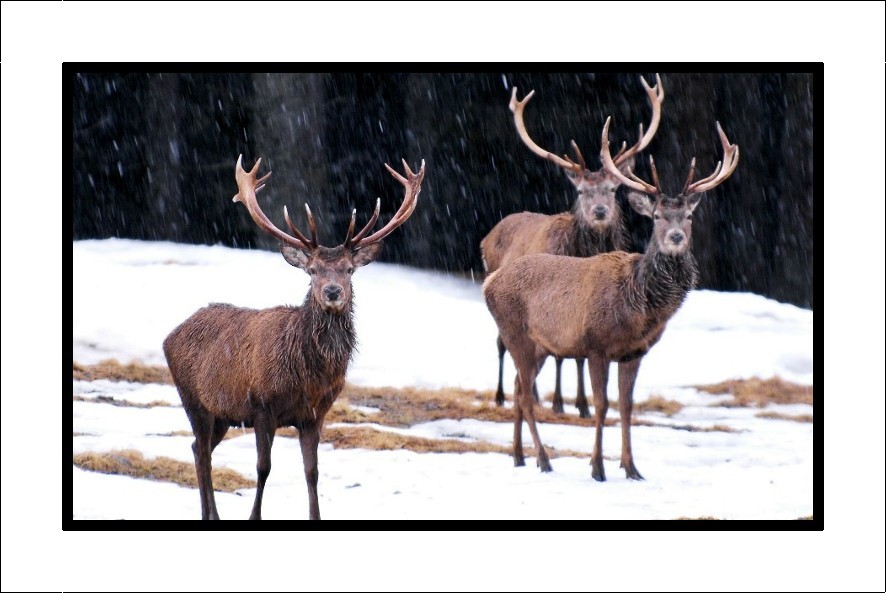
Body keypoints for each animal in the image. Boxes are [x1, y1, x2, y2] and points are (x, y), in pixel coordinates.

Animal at [167, 154, 430, 520]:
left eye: (349, 269)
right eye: (313, 270)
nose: (332, 291)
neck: (308, 376)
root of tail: (170, 335)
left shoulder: (314, 415)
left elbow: (312, 471)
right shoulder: (261, 407)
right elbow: (263, 468)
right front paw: (254, 517)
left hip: (222, 415)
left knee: (197, 448)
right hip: (193, 400)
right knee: (202, 450)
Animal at [482, 74, 664, 416]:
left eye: (613, 189)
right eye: (580, 191)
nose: (600, 211)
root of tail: (488, 235)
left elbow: (577, 356)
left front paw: (581, 404)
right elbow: (560, 355)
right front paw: (560, 403)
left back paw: (534, 394)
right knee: (502, 345)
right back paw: (503, 396)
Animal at [482, 118, 740, 478]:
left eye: (688, 216)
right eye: (656, 216)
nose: (676, 237)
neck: (638, 306)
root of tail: (488, 283)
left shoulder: (633, 353)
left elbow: (627, 406)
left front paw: (632, 468)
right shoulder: (595, 346)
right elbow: (602, 405)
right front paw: (597, 467)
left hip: (540, 345)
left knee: (521, 390)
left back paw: (520, 456)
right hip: (515, 333)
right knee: (525, 394)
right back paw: (544, 460)